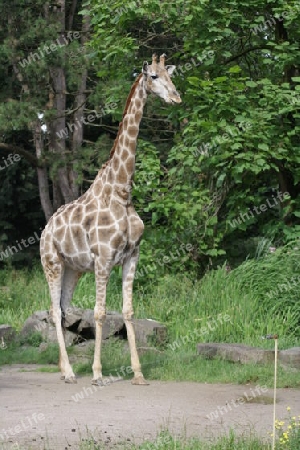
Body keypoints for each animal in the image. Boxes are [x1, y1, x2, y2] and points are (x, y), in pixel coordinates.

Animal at [39, 53, 180, 384]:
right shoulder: (103, 259)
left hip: (73, 269)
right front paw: (97, 373)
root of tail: (45, 230)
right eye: (153, 77)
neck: (122, 192)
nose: (176, 97)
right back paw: (70, 373)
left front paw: (138, 373)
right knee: (53, 310)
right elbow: (100, 313)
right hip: (51, 263)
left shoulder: (132, 256)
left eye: (171, 77)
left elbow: (128, 311)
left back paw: (65, 369)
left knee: (62, 309)